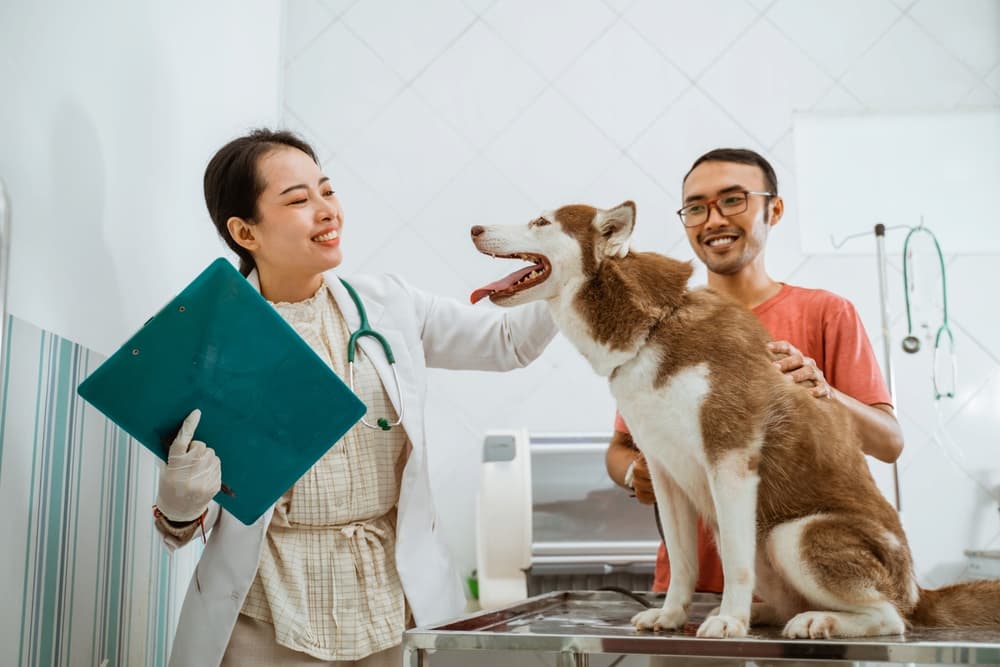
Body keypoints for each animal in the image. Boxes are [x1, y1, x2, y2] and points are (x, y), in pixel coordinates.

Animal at [468, 201, 1000, 640]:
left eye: (541, 221)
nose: (473, 227)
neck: (653, 327)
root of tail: (918, 592)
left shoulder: (731, 460)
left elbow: (737, 567)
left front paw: (728, 621)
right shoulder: (664, 473)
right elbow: (683, 563)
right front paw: (673, 615)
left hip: (792, 534)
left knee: (891, 618)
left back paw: (817, 620)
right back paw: (770, 613)